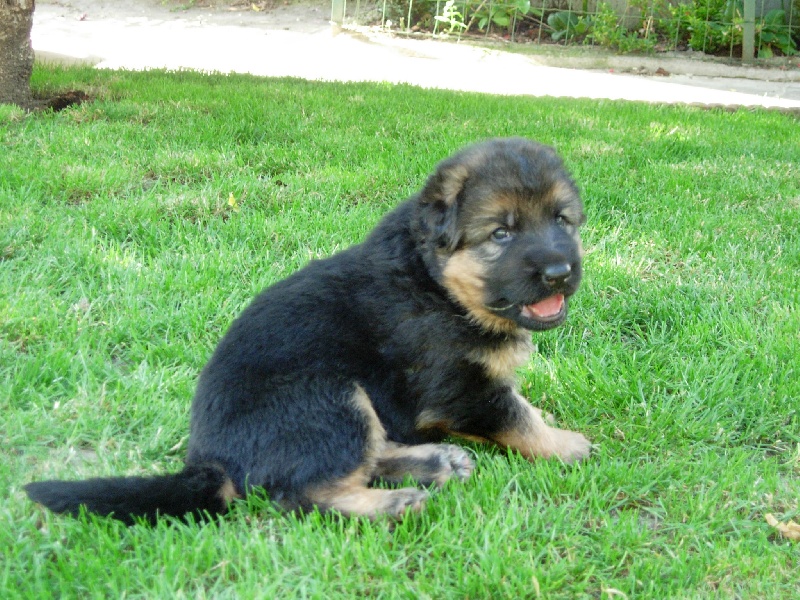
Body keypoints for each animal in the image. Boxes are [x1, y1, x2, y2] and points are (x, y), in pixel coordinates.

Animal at [25, 137, 591, 524]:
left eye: (562, 221)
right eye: (501, 234)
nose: (560, 272)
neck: (436, 283)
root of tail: (211, 461)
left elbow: (519, 404)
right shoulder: (459, 388)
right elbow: (515, 416)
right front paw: (565, 444)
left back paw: (433, 462)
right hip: (330, 397)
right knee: (303, 492)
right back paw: (396, 500)